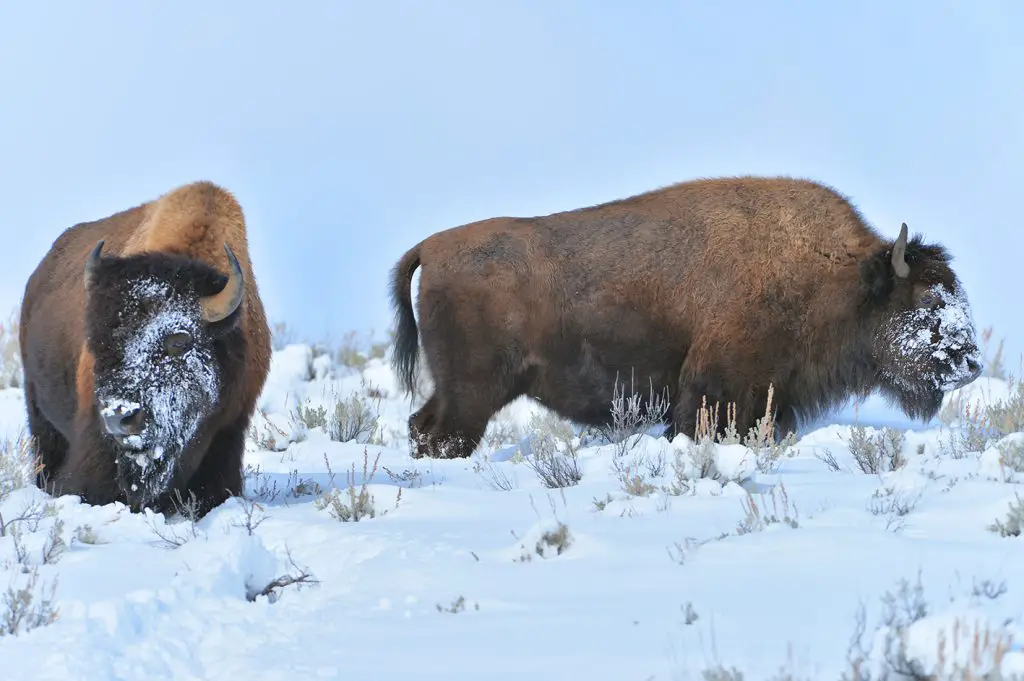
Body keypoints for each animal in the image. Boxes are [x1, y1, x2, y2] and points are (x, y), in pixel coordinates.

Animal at [389, 175, 983, 456]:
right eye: (927, 299)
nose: (972, 363)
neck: (838, 277)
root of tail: (432, 248)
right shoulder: (714, 389)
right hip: (474, 391)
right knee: (441, 434)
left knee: (424, 427)